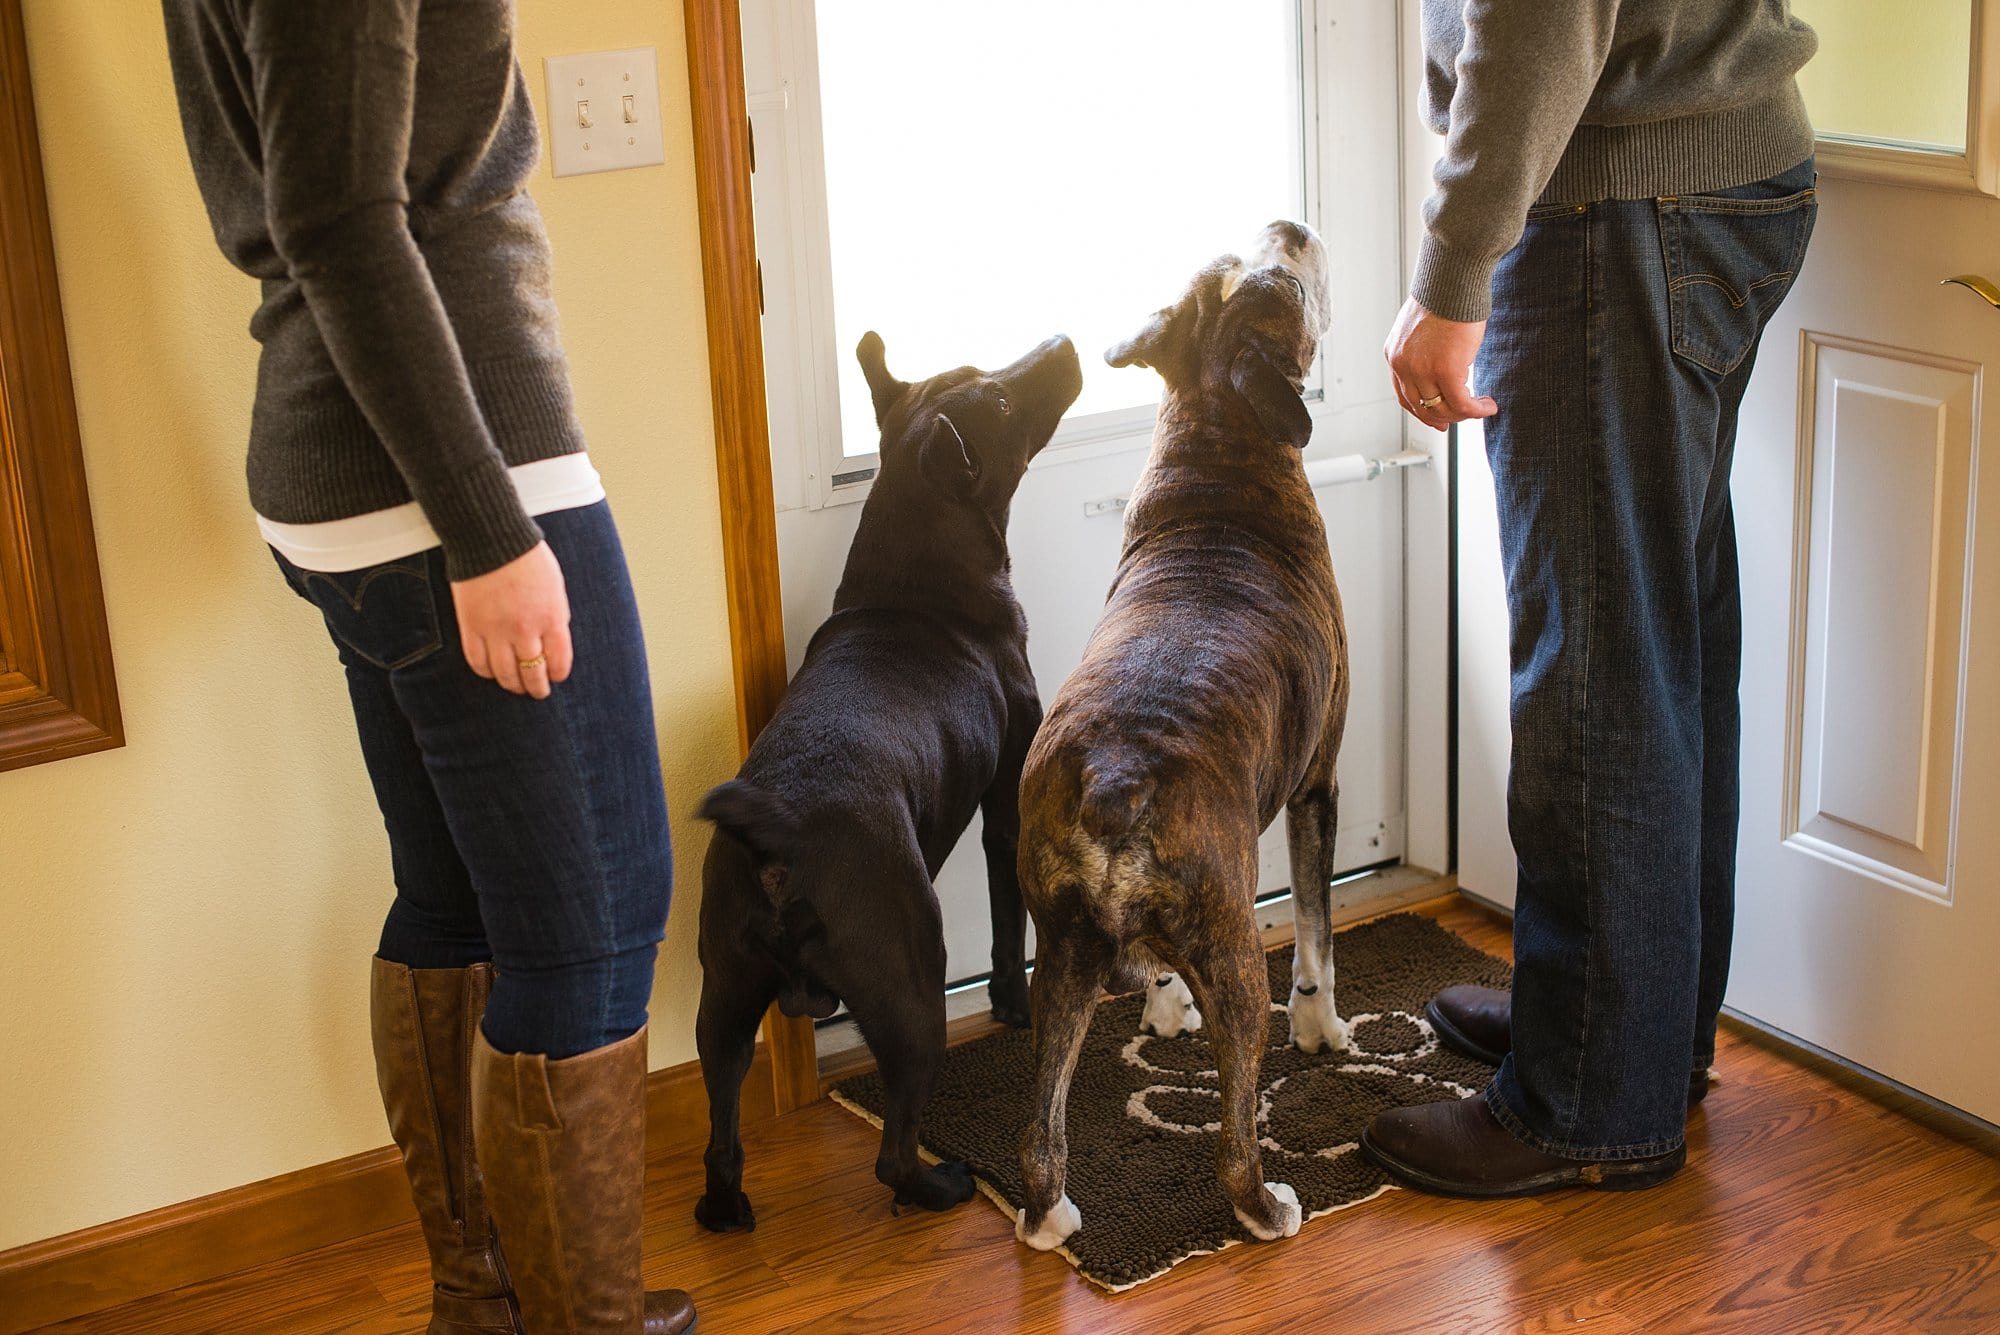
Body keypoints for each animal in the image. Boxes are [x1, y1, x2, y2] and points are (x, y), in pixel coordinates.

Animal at [696, 331, 1088, 1231]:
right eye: (1001, 402)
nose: (1061, 342)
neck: (915, 576)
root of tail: (776, 844)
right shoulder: (1006, 804)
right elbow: (1008, 918)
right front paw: (1014, 1005)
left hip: (722, 1003)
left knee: (722, 1132)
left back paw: (725, 1207)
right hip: (912, 980)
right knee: (891, 1151)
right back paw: (939, 1185)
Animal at [1016, 221, 1344, 1255]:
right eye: (1286, 284)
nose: (1292, 227)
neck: (1218, 442)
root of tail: (1115, 777)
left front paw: (1164, 1005)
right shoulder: (1319, 783)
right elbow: (1317, 926)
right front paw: (1327, 1031)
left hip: (1061, 955)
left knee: (1041, 1123)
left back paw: (1050, 1218)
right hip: (1236, 949)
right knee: (1236, 1126)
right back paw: (1268, 1207)